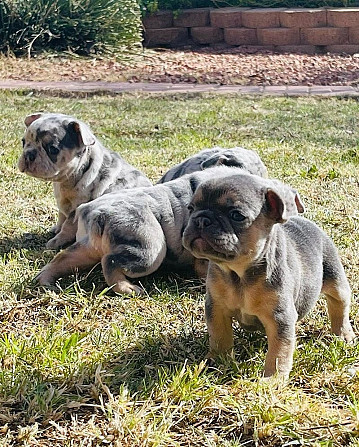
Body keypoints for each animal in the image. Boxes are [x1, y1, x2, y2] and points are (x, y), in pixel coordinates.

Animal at [18, 112, 152, 250]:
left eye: (53, 149)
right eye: (23, 142)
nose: (29, 154)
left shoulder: (76, 211)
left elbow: (67, 227)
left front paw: (56, 241)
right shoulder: (62, 203)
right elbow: (61, 217)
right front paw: (56, 229)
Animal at [183, 173, 358, 376]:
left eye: (236, 215)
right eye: (190, 208)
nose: (201, 219)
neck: (238, 273)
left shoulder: (280, 318)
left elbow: (278, 352)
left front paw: (273, 378)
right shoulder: (216, 308)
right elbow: (219, 336)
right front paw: (217, 361)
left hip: (335, 279)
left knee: (339, 306)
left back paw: (343, 333)